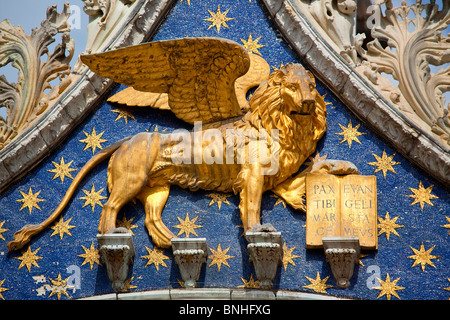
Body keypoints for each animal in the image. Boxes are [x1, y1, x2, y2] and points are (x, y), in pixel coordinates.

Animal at [6, 38, 356, 252]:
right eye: (293, 87)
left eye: (311, 86)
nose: (309, 102)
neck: (280, 125)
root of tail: (127, 139)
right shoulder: (254, 175)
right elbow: (252, 207)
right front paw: (258, 231)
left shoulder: (280, 176)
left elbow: (309, 175)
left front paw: (342, 167)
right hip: (131, 178)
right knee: (109, 207)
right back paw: (115, 235)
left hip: (157, 188)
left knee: (151, 218)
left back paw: (177, 243)